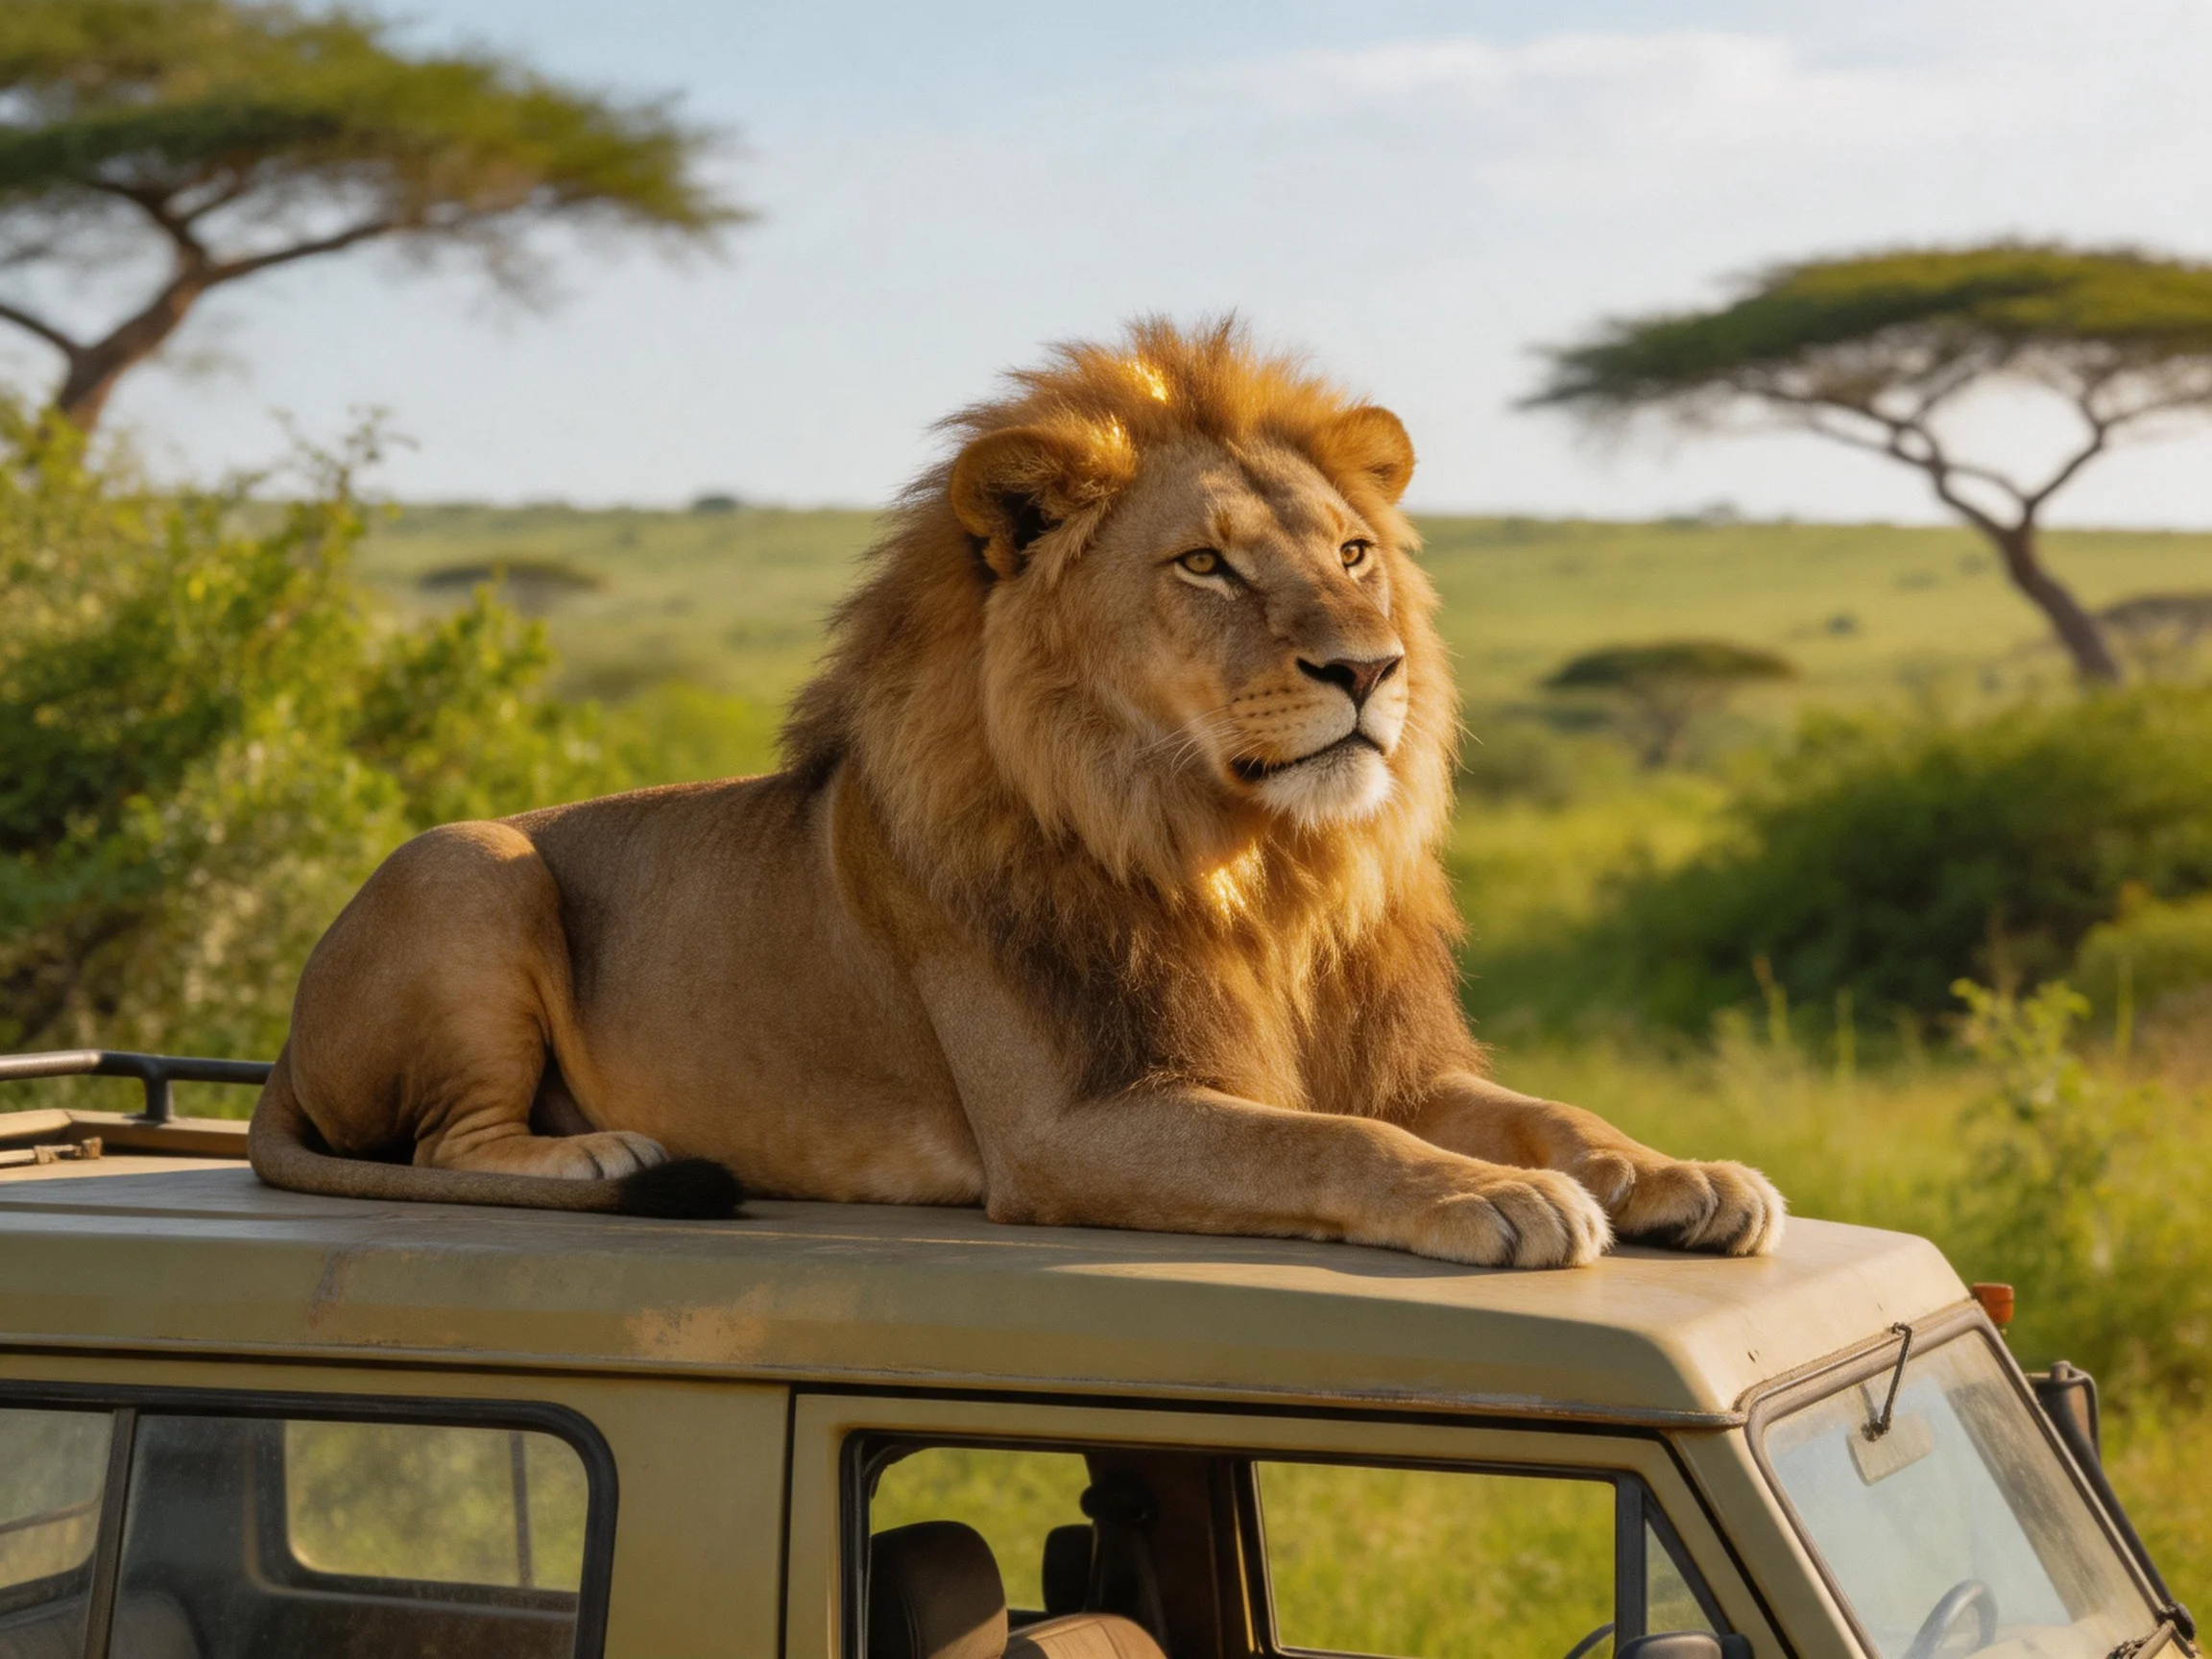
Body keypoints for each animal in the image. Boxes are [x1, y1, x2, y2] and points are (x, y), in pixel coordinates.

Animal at [249, 318, 1783, 1268]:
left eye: (1353, 551)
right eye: (1205, 566)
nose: (1368, 666)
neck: (1254, 863)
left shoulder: (1398, 1062)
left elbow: (1545, 1110)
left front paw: (1679, 1175)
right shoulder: (1069, 1131)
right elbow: (1329, 1142)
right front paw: (1498, 1198)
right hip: (469, 863)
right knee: (451, 1137)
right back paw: (601, 1156)